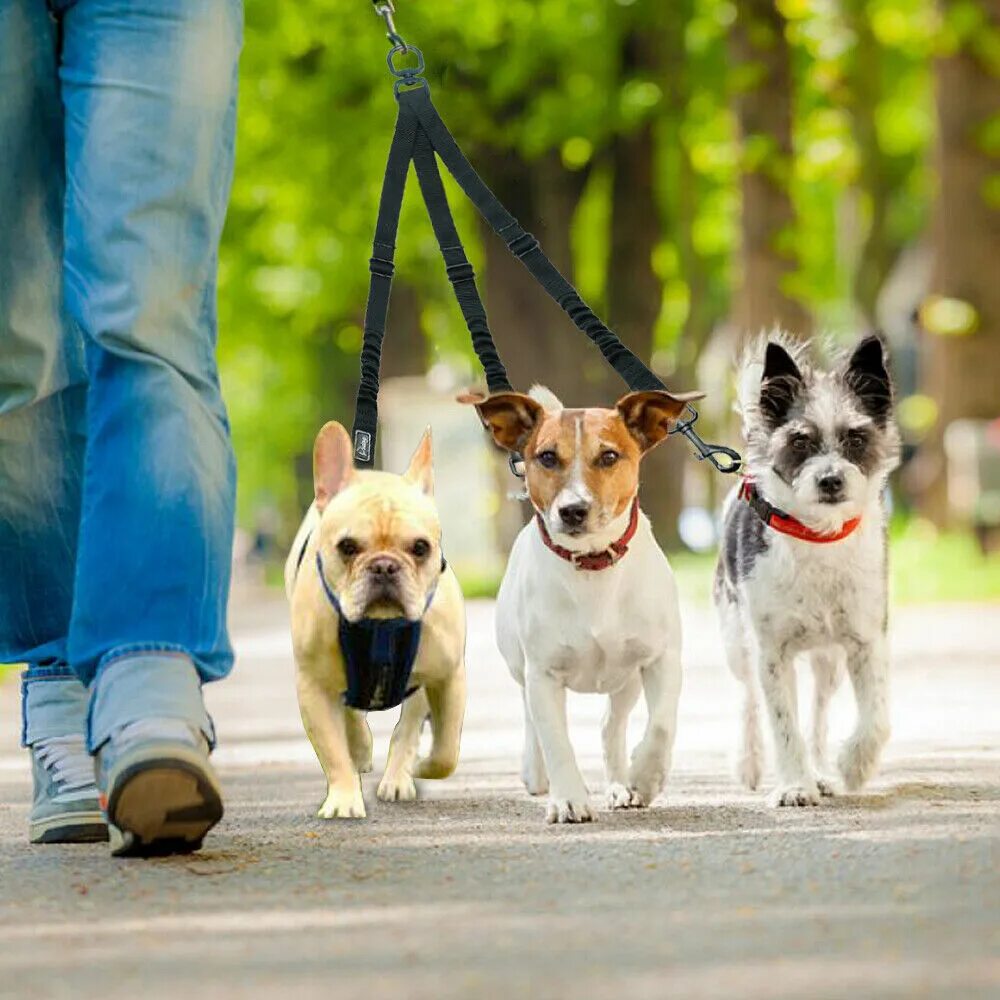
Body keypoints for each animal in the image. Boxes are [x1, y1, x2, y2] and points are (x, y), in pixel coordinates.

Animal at [284, 422, 466, 820]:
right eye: (348, 547)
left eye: (420, 547)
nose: (384, 566)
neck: (381, 626)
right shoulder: (313, 688)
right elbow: (333, 751)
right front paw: (343, 799)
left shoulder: (448, 676)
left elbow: (446, 749)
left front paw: (424, 766)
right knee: (352, 715)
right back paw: (361, 748)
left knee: (408, 728)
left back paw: (398, 777)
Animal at [460, 382, 704, 820]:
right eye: (547, 457)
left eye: (608, 456)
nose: (573, 510)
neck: (592, 566)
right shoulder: (542, 673)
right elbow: (556, 740)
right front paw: (569, 798)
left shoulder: (662, 660)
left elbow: (661, 725)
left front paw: (644, 777)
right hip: (520, 668)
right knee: (532, 720)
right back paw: (537, 773)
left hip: (626, 679)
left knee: (612, 725)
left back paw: (620, 784)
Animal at [716, 334, 904, 804]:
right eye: (800, 441)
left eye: (856, 437)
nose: (830, 480)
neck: (818, 537)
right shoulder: (770, 653)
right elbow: (783, 724)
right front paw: (794, 785)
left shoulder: (866, 641)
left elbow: (877, 718)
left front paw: (853, 766)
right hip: (736, 642)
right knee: (749, 698)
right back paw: (750, 761)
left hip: (828, 661)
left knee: (818, 713)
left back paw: (820, 769)